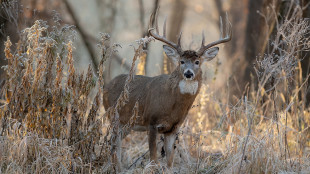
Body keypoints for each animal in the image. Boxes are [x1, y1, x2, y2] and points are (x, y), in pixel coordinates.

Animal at [103, 8, 231, 171]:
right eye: (181, 61)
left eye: (197, 62)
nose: (188, 73)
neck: (172, 106)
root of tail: (105, 87)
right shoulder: (151, 122)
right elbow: (153, 160)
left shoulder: (173, 128)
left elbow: (169, 161)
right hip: (113, 117)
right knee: (114, 145)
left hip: (126, 124)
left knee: (114, 145)